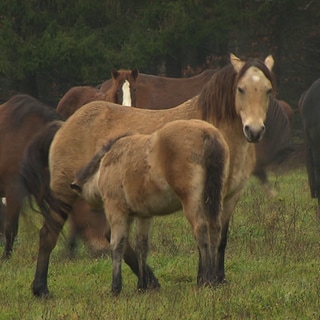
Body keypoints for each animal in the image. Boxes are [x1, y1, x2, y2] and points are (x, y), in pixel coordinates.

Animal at [70, 120, 230, 296]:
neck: (105, 165)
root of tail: (208, 134)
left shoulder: (117, 211)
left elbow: (117, 245)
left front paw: (116, 287)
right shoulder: (143, 215)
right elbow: (142, 247)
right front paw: (142, 285)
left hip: (192, 201)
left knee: (201, 230)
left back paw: (206, 279)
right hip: (214, 200)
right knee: (215, 229)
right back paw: (213, 278)